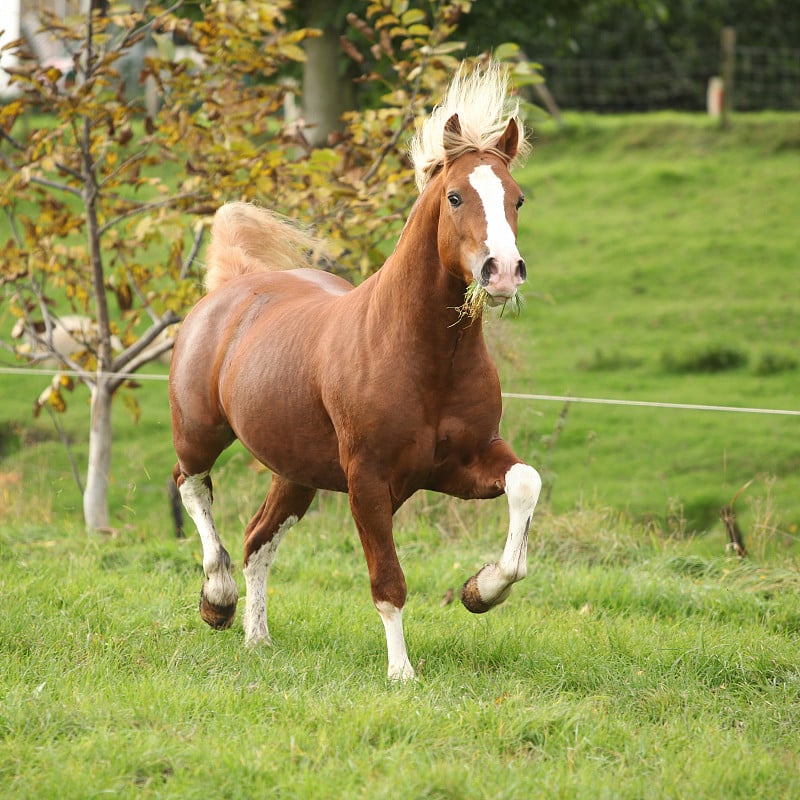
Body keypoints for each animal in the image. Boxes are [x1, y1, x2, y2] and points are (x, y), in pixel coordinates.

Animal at [169, 65, 544, 680]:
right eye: (455, 196)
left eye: (517, 198)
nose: (504, 272)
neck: (424, 360)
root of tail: (233, 286)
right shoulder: (368, 479)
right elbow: (387, 581)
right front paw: (401, 672)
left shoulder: (460, 465)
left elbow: (524, 482)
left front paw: (480, 590)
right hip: (201, 432)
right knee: (192, 487)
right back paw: (217, 600)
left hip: (295, 472)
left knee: (257, 539)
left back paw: (256, 638)